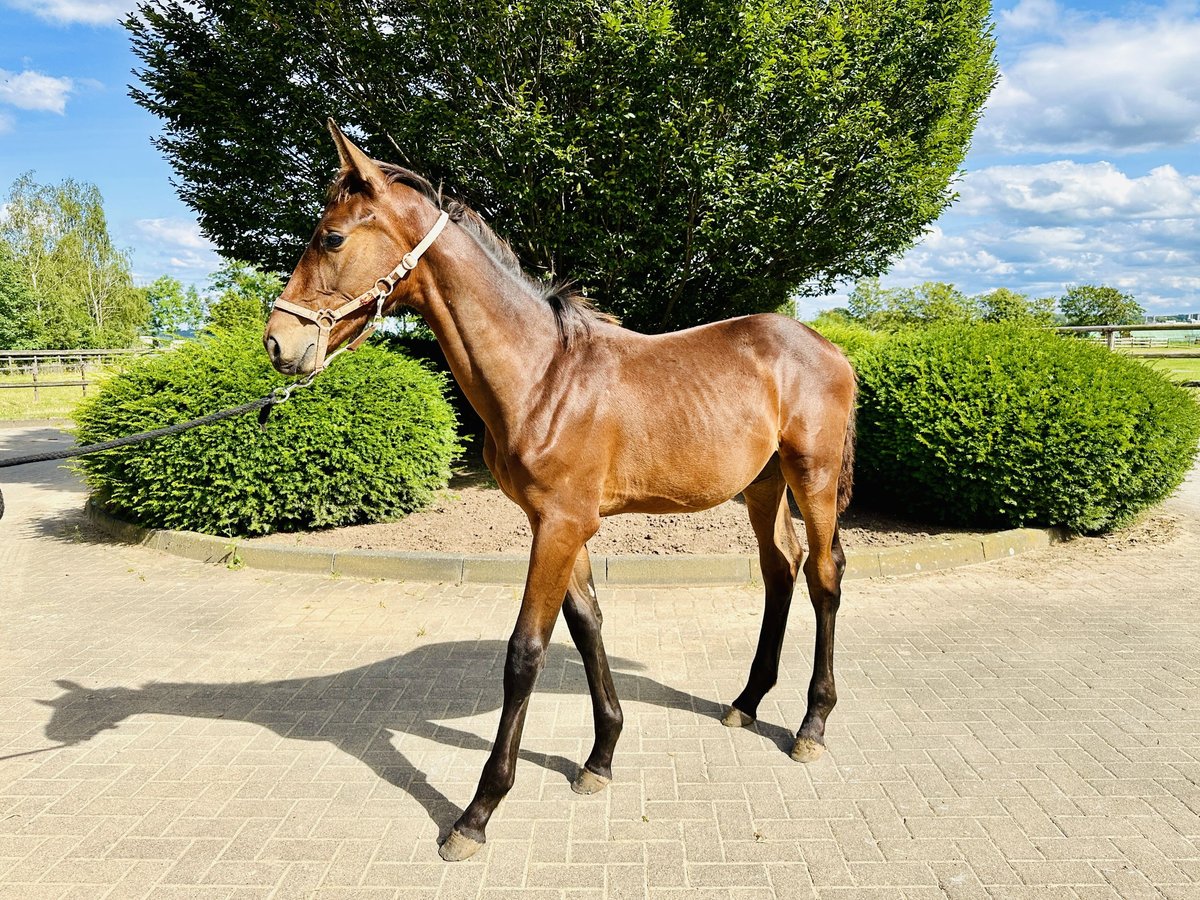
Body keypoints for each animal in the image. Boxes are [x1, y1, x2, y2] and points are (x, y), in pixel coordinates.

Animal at [266, 123, 859, 864]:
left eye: (332, 238)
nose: (278, 342)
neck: (544, 374)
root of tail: (829, 348)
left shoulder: (560, 524)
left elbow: (526, 652)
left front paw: (477, 813)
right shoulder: (559, 523)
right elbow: (586, 627)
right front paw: (600, 757)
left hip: (811, 476)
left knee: (824, 576)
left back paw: (812, 724)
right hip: (762, 486)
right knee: (780, 572)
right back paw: (748, 701)